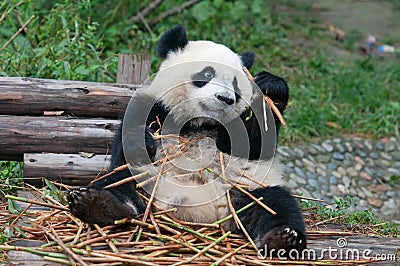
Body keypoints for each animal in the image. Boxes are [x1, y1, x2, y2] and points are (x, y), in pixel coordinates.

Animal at [69, 26, 306, 255]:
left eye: (235, 85)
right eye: (207, 73)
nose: (225, 98)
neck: (200, 122)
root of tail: (204, 215)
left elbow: (257, 145)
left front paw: (271, 87)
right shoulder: (152, 107)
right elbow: (124, 150)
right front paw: (141, 139)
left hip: (241, 191)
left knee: (276, 204)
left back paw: (282, 240)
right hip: (151, 183)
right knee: (119, 181)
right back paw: (98, 204)